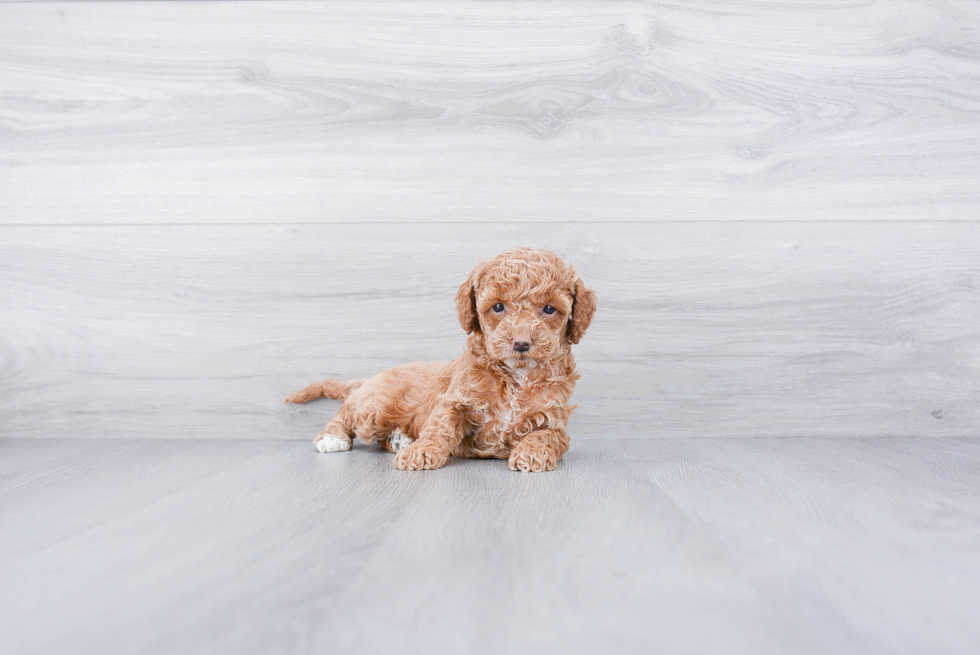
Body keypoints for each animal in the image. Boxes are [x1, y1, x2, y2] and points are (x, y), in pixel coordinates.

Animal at [284, 247, 596, 472]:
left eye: (549, 309)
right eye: (498, 307)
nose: (521, 342)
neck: (516, 377)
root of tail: (370, 380)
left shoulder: (553, 418)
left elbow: (546, 436)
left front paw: (532, 453)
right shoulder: (455, 399)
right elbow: (439, 426)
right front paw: (422, 451)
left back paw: (399, 439)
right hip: (374, 407)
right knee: (347, 413)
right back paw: (334, 437)